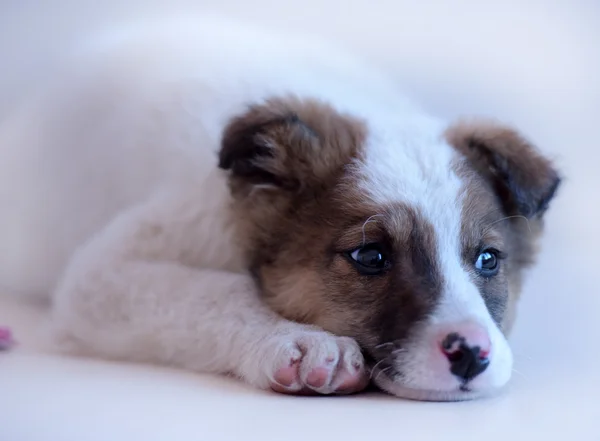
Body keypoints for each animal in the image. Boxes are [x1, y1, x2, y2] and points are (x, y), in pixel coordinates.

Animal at [1, 16, 564, 398]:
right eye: (371, 257)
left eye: (488, 260)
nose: (470, 354)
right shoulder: (103, 274)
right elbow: (214, 292)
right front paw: (301, 342)